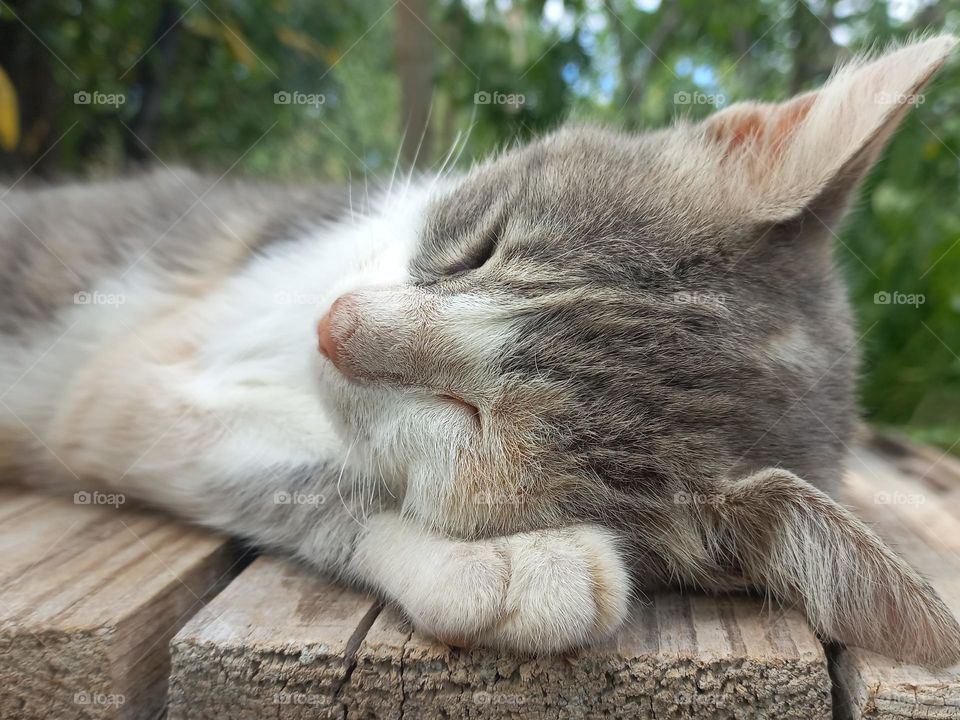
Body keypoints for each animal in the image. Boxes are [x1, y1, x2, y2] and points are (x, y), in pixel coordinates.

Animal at [1, 33, 960, 664]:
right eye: (481, 247)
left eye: (470, 421)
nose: (334, 328)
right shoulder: (125, 377)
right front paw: (504, 566)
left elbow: (305, 471)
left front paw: (491, 562)